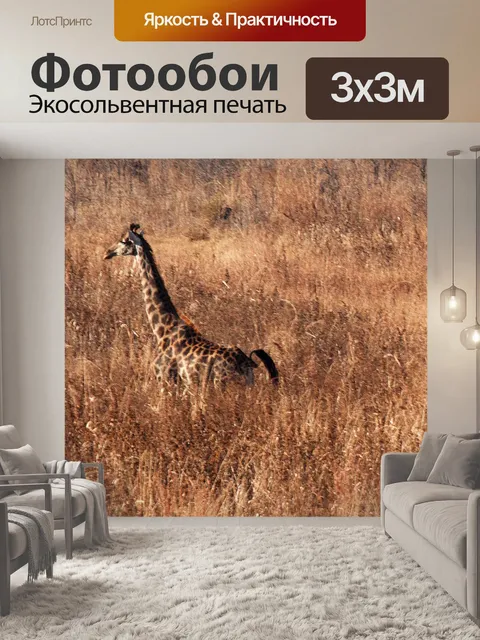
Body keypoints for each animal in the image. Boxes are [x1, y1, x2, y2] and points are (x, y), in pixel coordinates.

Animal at [104, 224, 279, 389]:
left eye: (124, 240)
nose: (107, 252)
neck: (163, 328)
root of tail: (247, 362)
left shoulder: (164, 379)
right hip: (245, 386)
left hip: (222, 384)